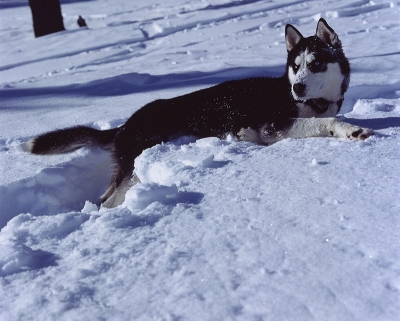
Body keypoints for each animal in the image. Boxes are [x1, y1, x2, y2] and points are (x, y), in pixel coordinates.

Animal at [25, 18, 374, 208]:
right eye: (295, 66)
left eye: (315, 64)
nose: (297, 88)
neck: (311, 102)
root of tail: (126, 124)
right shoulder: (276, 124)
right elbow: (325, 122)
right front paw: (349, 129)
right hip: (133, 166)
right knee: (105, 201)